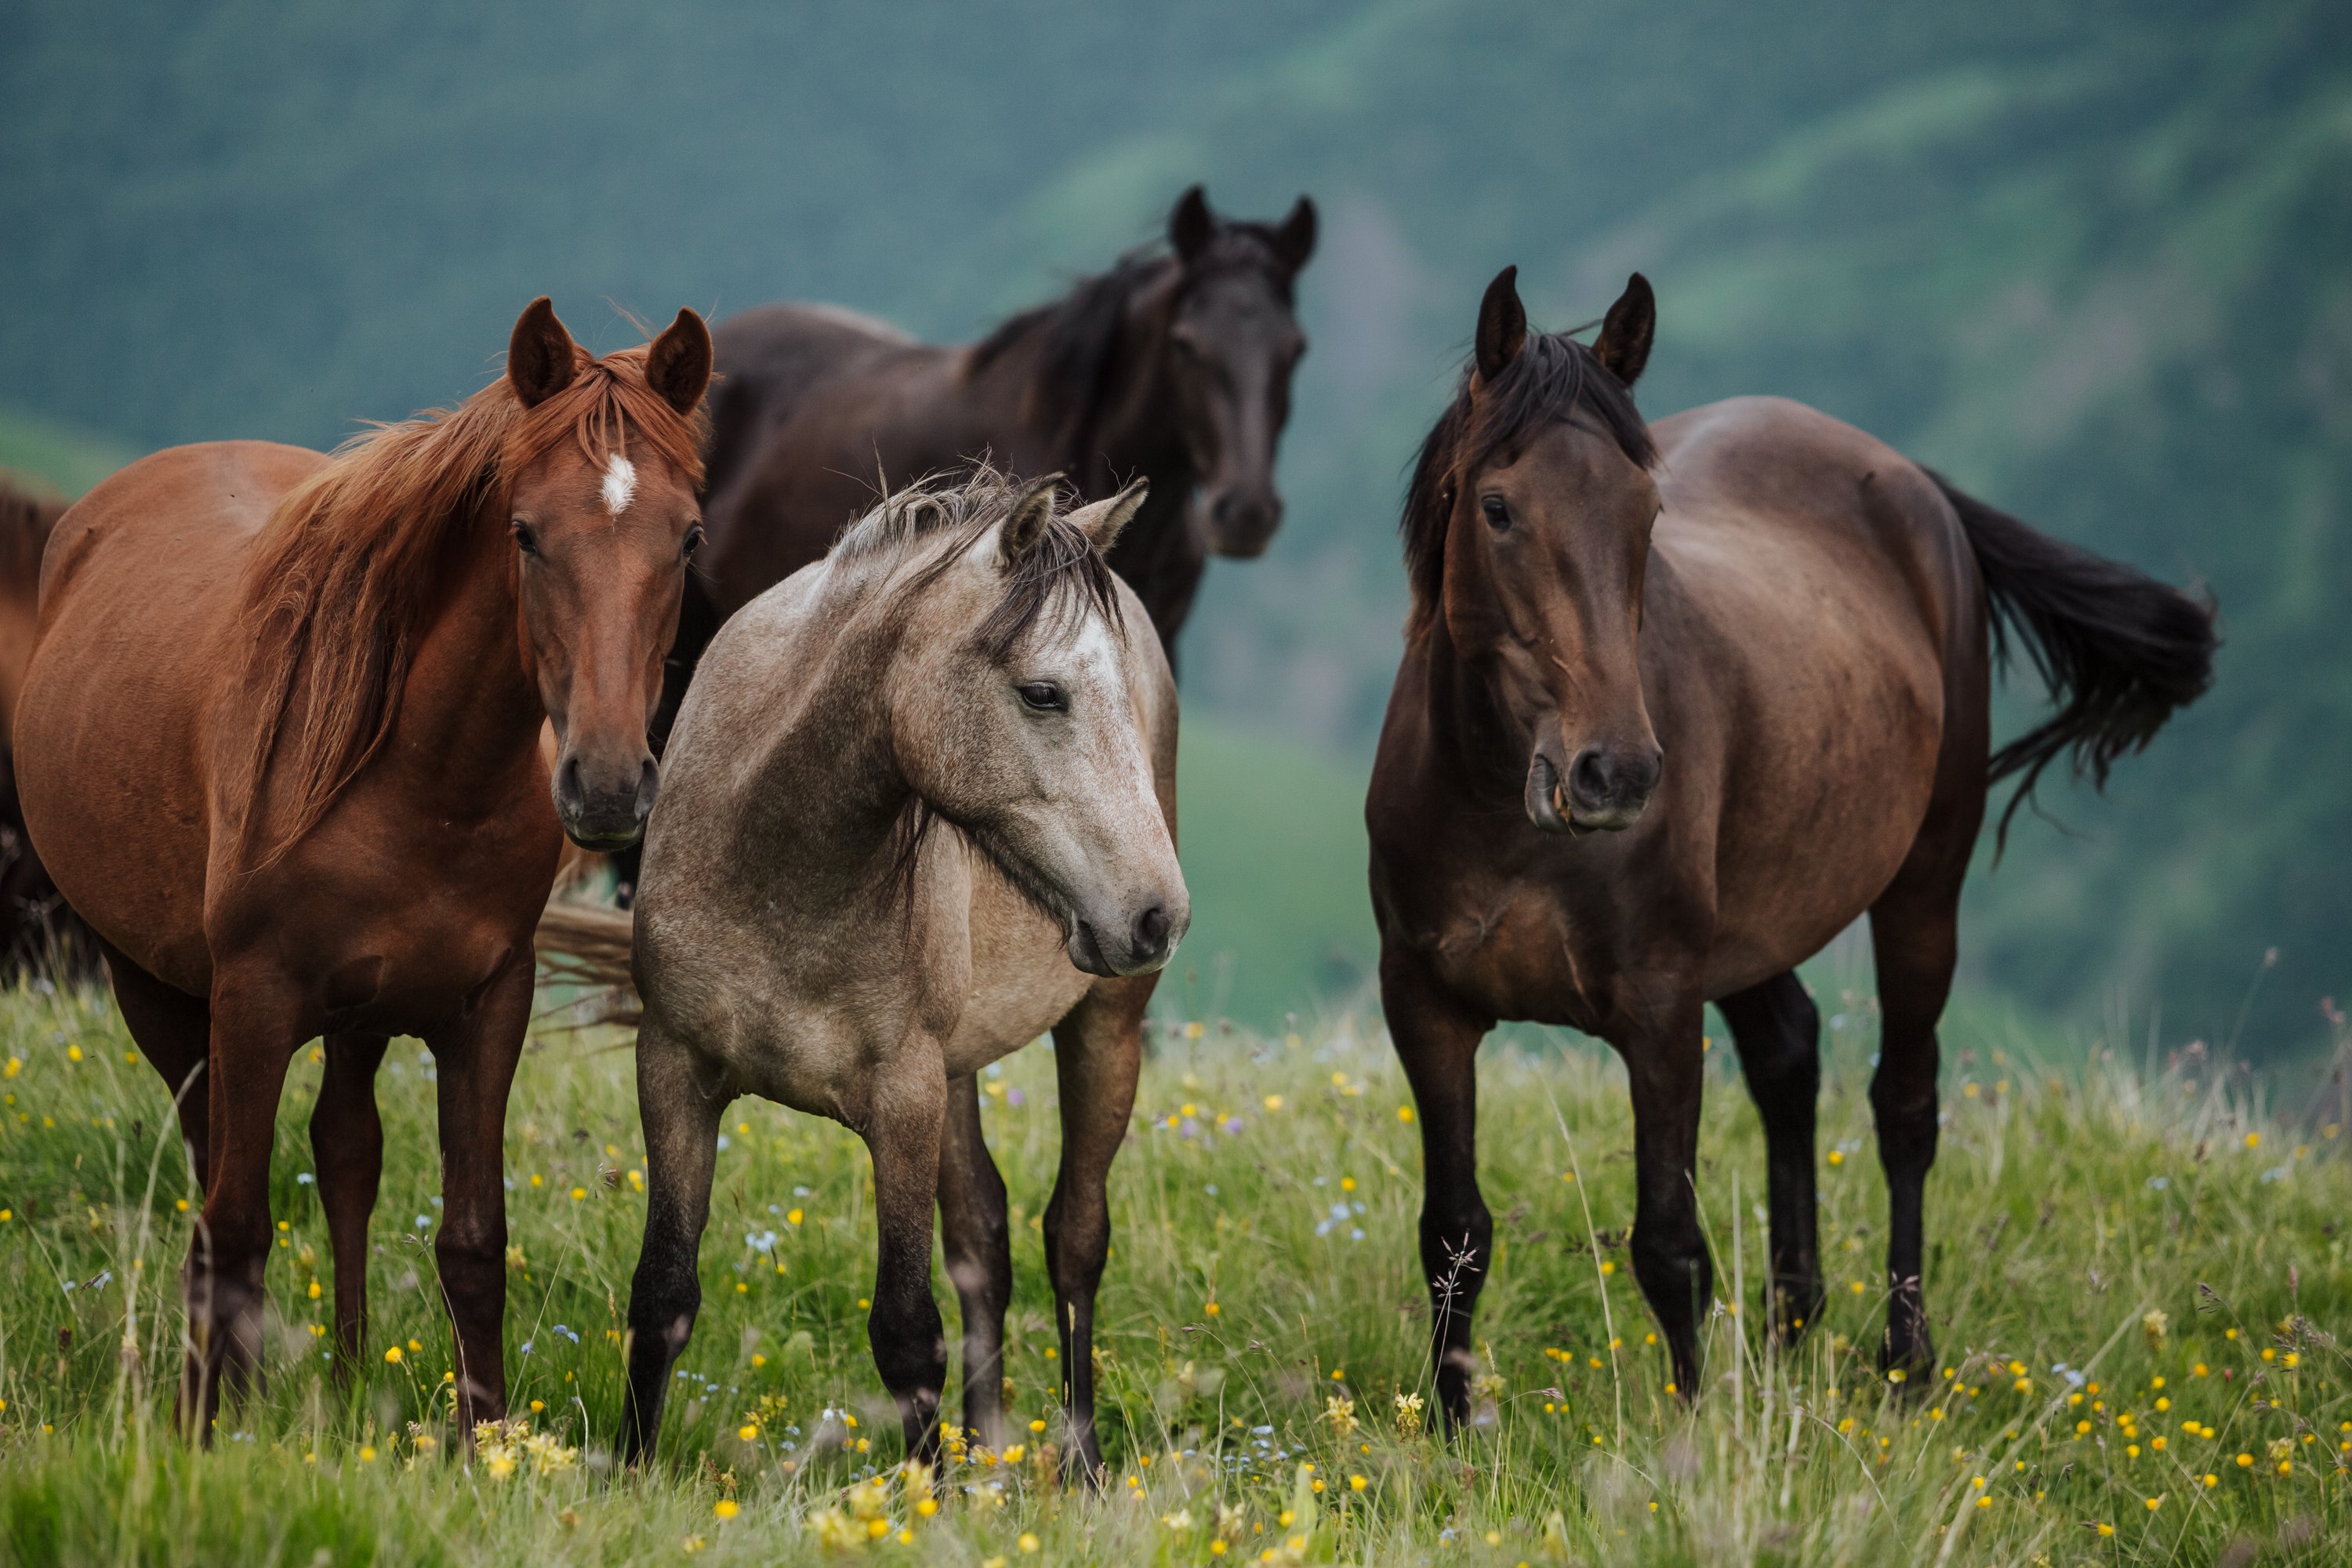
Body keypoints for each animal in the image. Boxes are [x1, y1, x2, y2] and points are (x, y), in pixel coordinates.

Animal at [16, 297, 706, 1439]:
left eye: (688, 537)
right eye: (525, 531)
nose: (607, 785)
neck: (420, 775)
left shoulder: (487, 1006)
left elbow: (471, 1238)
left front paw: (483, 1443)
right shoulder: (252, 1002)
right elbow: (238, 1223)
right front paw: (208, 1437)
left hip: (360, 1014)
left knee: (345, 1152)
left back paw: (340, 1378)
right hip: (157, 991)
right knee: (214, 1182)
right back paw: (231, 1391)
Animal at [1374, 270, 2211, 1420]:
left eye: (1646, 512)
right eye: (1497, 509)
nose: (1616, 773)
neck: (1503, 812)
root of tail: (1914, 486)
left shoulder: (1661, 1011)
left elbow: (1668, 1246)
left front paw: (1691, 1438)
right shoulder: (1427, 1006)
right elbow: (1454, 1234)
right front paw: (1457, 1440)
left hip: (1923, 887)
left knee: (1904, 1108)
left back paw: (1905, 1359)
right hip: (1758, 924)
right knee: (1789, 1057)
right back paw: (1791, 1324)